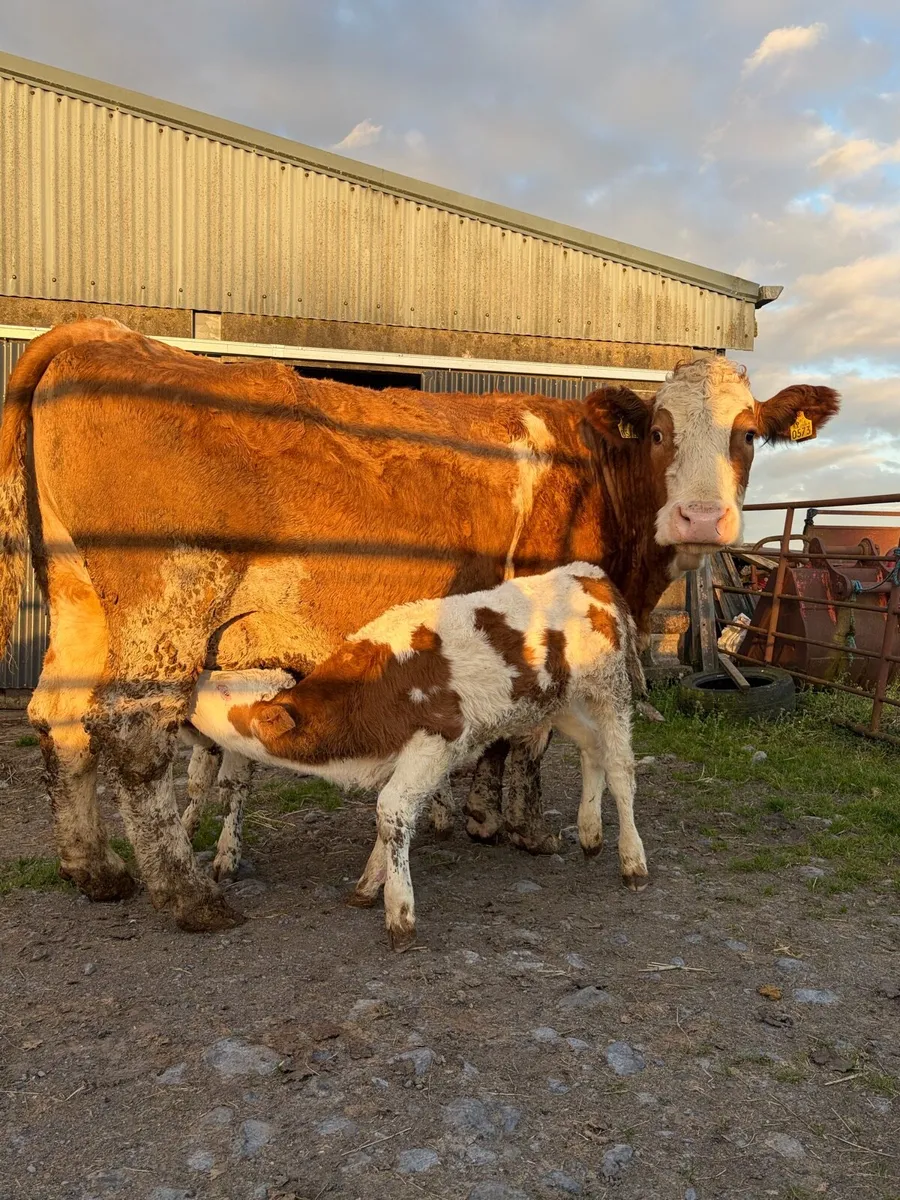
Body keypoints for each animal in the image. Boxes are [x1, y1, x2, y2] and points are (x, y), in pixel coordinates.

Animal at [186, 563, 648, 949]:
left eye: (224, 692)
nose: (186, 695)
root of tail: (589, 574)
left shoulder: (438, 741)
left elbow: (390, 811)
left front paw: (400, 914)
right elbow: (390, 817)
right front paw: (368, 886)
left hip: (609, 689)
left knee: (621, 767)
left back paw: (632, 861)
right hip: (561, 702)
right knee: (592, 748)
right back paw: (590, 834)